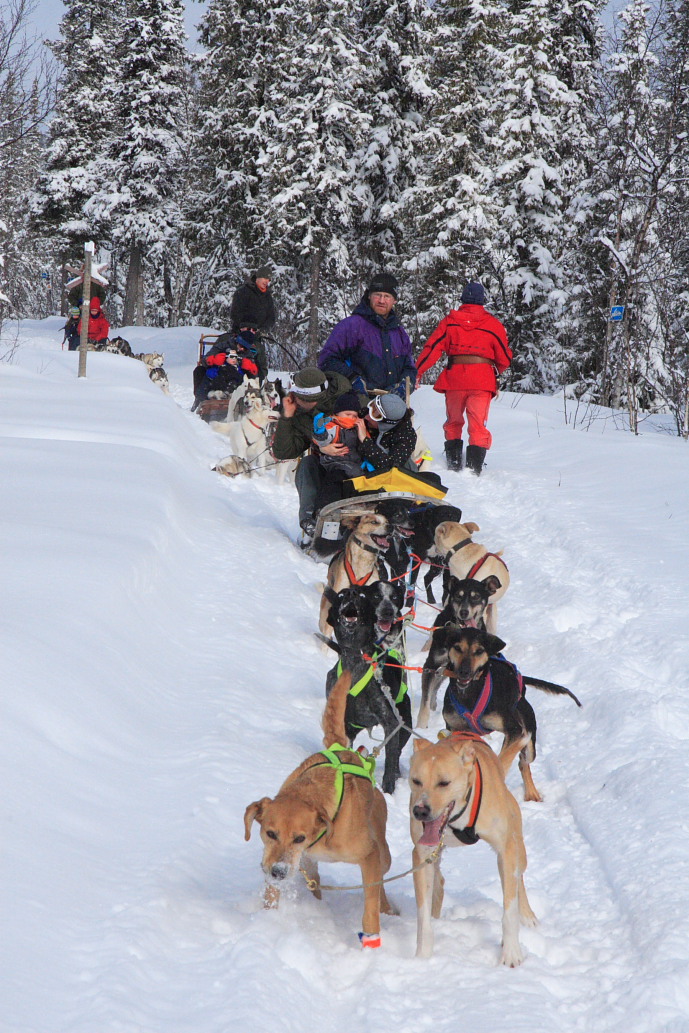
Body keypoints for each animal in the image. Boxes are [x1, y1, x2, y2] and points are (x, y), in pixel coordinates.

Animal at [409, 731, 537, 962]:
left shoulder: (506, 849)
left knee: (518, 879)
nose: (420, 811)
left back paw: (527, 915)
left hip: (517, 849)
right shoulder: (422, 855)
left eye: (444, 783)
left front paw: (511, 952)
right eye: (416, 781)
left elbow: (509, 909)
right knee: (438, 882)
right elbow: (423, 917)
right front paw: (423, 956)